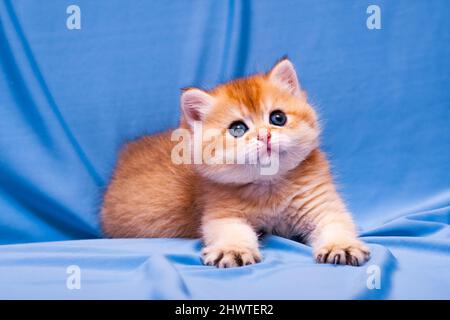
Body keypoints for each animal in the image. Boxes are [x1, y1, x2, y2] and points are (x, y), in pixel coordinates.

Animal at [102, 57, 370, 268]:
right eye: (238, 129)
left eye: (278, 118)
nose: (265, 135)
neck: (269, 187)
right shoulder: (222, 213)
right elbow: (232, 232)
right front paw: (234, 250)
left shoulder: (321, 204)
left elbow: (337, 223)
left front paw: (341, 246)